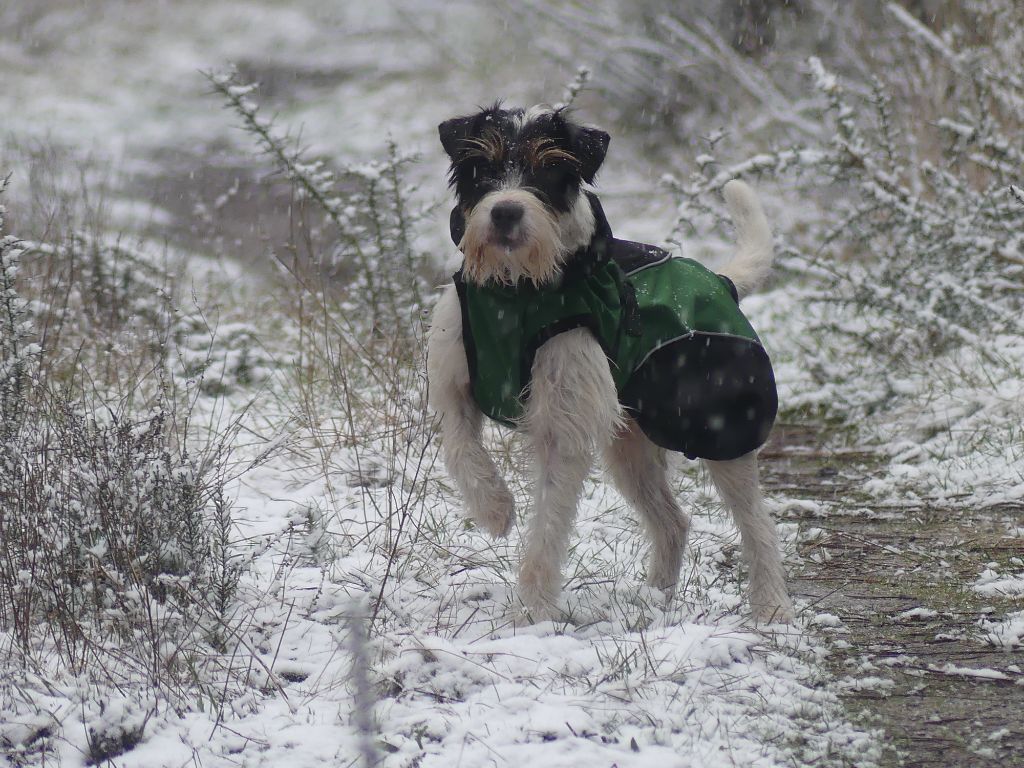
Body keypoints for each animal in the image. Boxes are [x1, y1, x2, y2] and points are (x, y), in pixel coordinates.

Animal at [423, 105, 790, 626]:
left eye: (549, 169)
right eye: (483, 167)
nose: (506, 211)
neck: (516, 291)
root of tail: (721, 281)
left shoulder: (564, 425)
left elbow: (548, 525)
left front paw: (533, 614)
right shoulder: (456, 387)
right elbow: (459, 449)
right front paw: (495, 509)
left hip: (719, 427)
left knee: (758, 523)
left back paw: (773, 607)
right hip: (630, 449)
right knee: (673, 520)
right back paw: (654, 598)